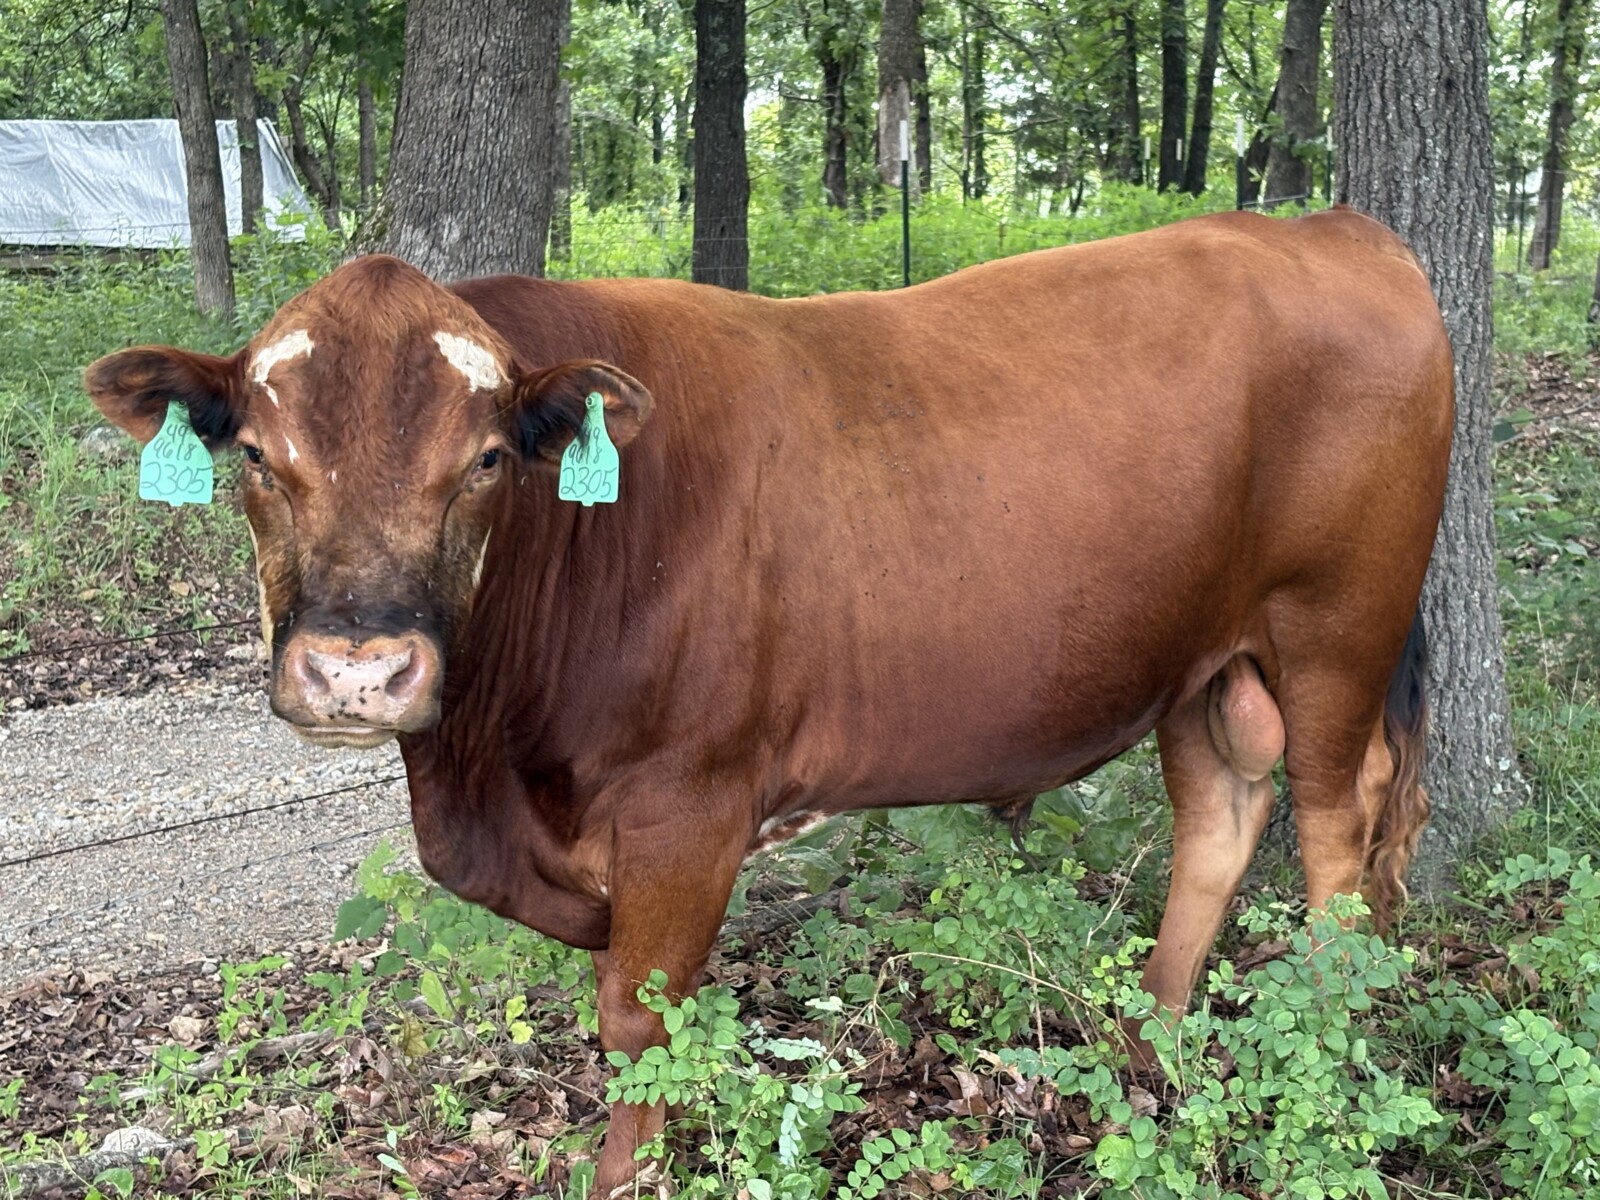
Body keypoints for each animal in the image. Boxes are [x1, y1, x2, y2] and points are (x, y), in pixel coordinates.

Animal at [86, 207, 1451, 1193]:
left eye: (481, 461)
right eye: (255, 457)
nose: (359, 671)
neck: (488, 768)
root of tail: (1334, 227)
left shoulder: (689, 801)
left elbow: (637, 1022)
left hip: (1335, 629)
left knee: (1335, 841)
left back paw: (1315, 1051)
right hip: (1201, 657)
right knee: (1217, 817)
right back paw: (1144, 1055)